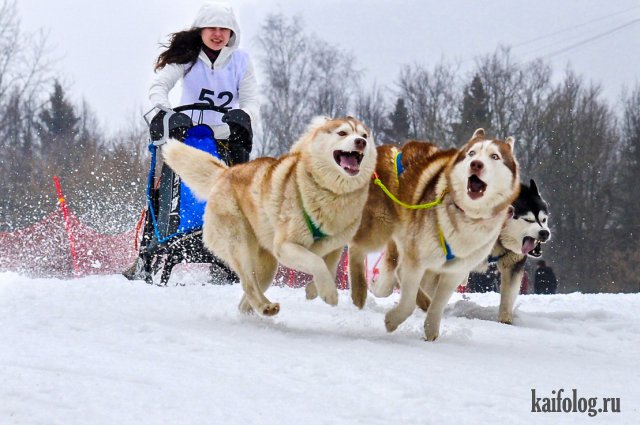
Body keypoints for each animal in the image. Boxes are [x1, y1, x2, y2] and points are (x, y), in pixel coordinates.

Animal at [162, 116, 378, 314]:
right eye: (342, 133)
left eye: (364, 135)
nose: (361, 142)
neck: (332, 195)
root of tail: (225, 172)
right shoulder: (285, 247)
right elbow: (317, 262)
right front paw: (329, 293)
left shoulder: (335, 245)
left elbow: (331, 266)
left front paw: (313, 289)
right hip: (240, 246)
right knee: (248, 283)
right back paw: (264, 306)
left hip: (267, 266)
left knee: (248, 295)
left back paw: (255, 311)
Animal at [348, 127, 516, 340]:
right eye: (472, 153)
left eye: (495, 156)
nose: (476, 164)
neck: (467, 216)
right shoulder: (416, 261)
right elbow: (407, 303)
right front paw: (392, 321)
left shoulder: (454, 272)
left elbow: (438, 305)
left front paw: (431, 332)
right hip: (380, 228)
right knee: (357, 250)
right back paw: (359, 291)